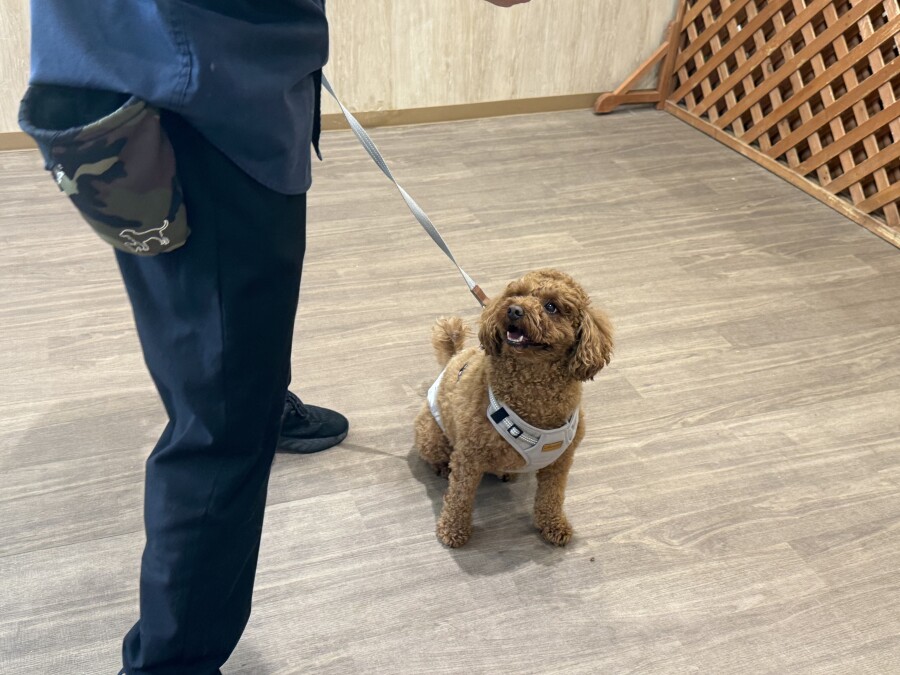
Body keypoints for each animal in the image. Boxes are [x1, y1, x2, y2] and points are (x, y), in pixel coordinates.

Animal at [414, 269, 613, 548]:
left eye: (551, 306)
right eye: (516, 294)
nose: (513, 310)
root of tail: (453, 358)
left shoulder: (560, 461)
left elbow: (552, 496)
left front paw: (554, 525)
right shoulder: (468, 457)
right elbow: (459, 497)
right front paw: (453, 530)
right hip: (431, 436)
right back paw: (442, 467)